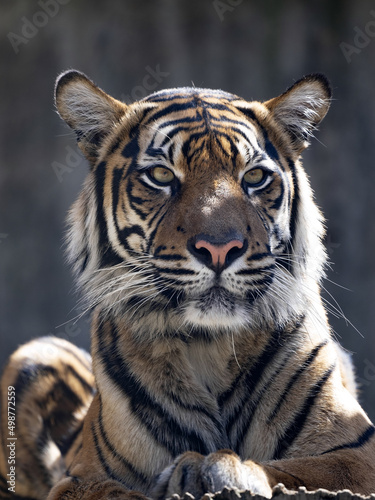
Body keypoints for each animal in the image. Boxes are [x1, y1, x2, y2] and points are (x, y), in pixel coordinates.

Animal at [0, 71, 375, 500]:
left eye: (254, 177)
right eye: (162, 175)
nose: (220, 248)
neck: (210, 345)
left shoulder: (356, 454)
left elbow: (299, 469)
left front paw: (215, 470)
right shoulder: (82, 477)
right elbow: (117, 492)